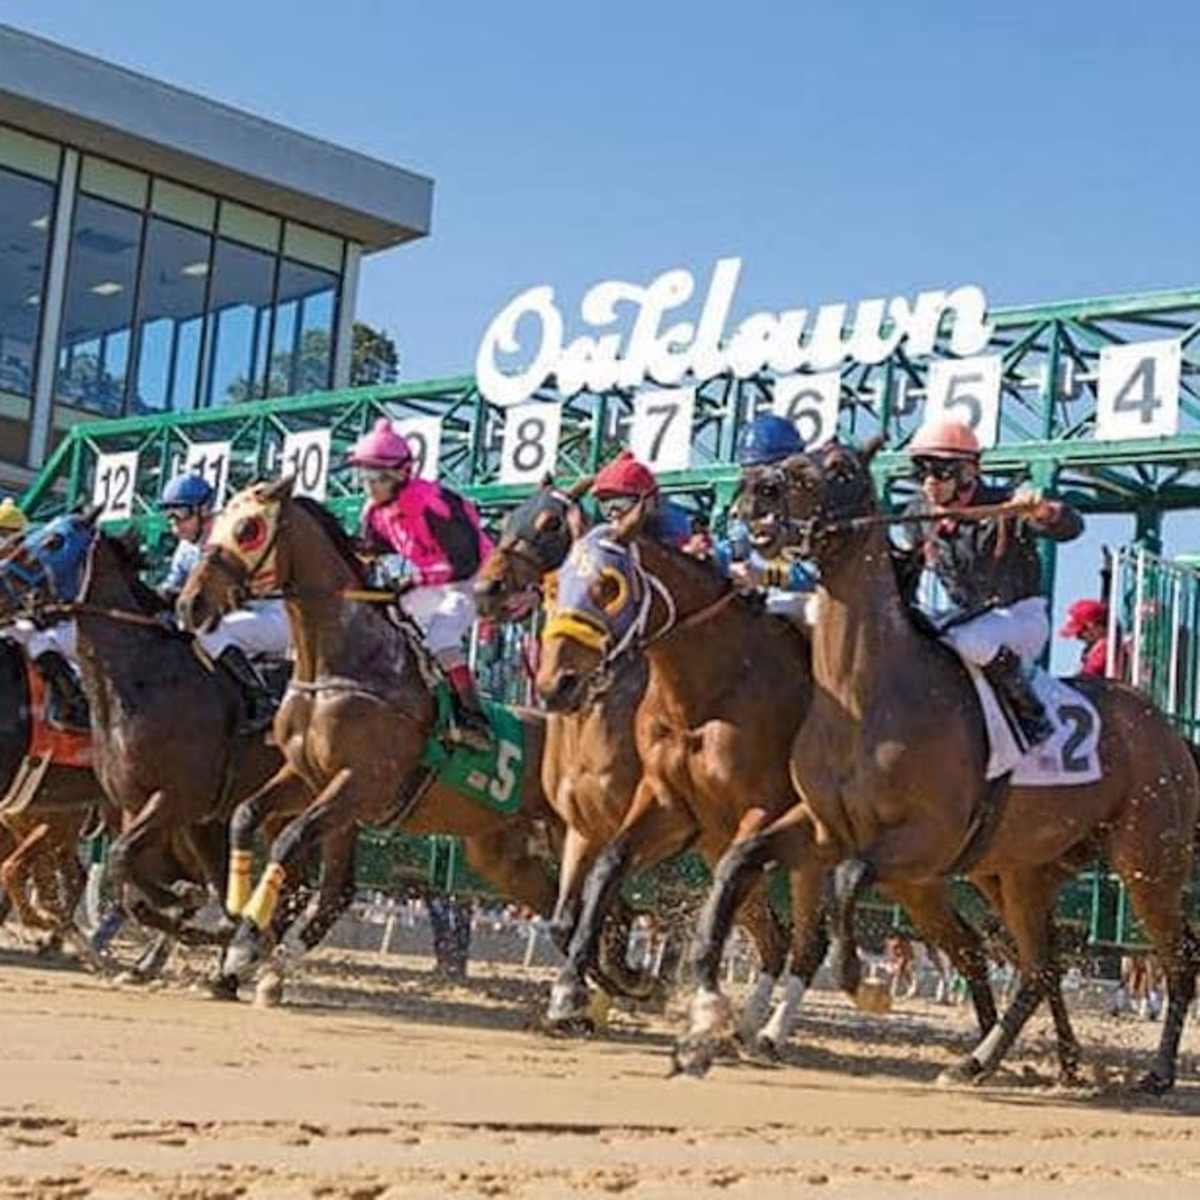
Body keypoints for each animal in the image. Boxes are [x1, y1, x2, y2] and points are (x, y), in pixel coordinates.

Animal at [175, 478, 564, 985]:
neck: (343, 666)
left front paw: (245, 938)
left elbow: (289, 838)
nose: (190, 603)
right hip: (501, 852)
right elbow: (245, 816)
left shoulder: (362, 783)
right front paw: (239, 917)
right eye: (217, 523)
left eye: (248, 529)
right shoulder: (310, 777)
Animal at [474, 478, 791, 1033]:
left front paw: (629, 980)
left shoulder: (669, 837)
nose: (484, 589)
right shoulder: (580, 827)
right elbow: (572, 916)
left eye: (549, 524)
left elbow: (626, 913)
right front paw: (586, 991)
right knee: (772, 933)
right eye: (510, 515)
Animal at [692, 438, 1200, 1092]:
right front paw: (709, 991)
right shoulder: (823, 826)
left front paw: (857, 981)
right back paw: (991, 1060)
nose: (757, 489)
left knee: (1176, 956)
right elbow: (740, 860)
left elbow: (848, 878)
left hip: (1149, 862)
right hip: (1021, 870)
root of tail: (1166, 729)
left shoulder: (928, 840)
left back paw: (1156, 1072)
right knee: (1040, 965)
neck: (866, 694)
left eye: (840, 467)